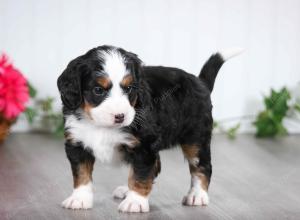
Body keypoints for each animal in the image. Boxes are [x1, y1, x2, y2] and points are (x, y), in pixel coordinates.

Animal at [57, 45, 243, 213]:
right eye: (98, 90)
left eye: (129, 88)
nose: (120, 116)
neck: (101, 125)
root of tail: (200, 82)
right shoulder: (77, 143)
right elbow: (81, 174)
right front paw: (79, 199)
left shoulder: (144, 146)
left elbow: (140, 174)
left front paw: (135, 202)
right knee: (155, 166)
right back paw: (126, 190)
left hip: (195, 139)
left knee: (202, 167)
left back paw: (197, 195)